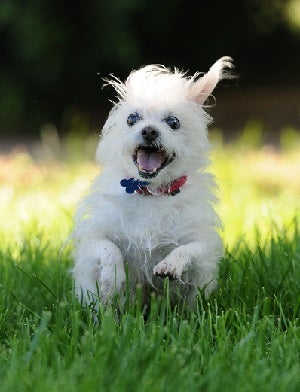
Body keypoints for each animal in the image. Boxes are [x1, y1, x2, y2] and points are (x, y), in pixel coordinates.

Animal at [72, 56, 232, 306]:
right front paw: (113, 278)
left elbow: (187, 249)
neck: (152, 192)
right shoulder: (94, 238)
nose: (148, 131)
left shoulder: (203, 243)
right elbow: (109, 249)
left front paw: (170, 265)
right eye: (132, 119)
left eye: (173, 122)